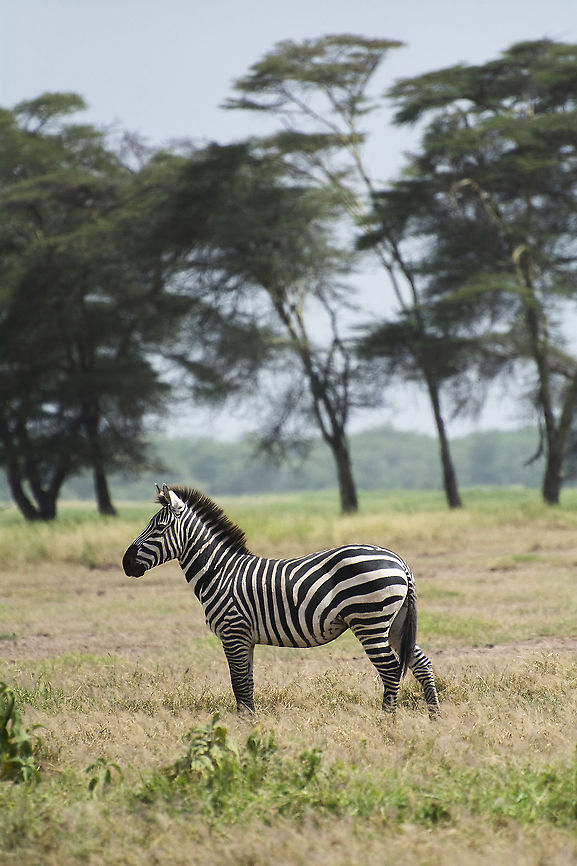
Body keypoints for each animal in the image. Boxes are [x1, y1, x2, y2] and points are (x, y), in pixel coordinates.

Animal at [122, 484, 440, 717]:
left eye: (159, 527)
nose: (126, 563)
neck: (220, 572)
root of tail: (399, 561)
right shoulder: (245, 638)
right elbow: (246, 684)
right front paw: (249, 725)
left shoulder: (233, 632)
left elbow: (239, 684)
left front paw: (246, 729)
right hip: (394, 621)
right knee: (421, 664)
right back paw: (434, 718)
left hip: (369, 620)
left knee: (390, 670)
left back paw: (386, 722)